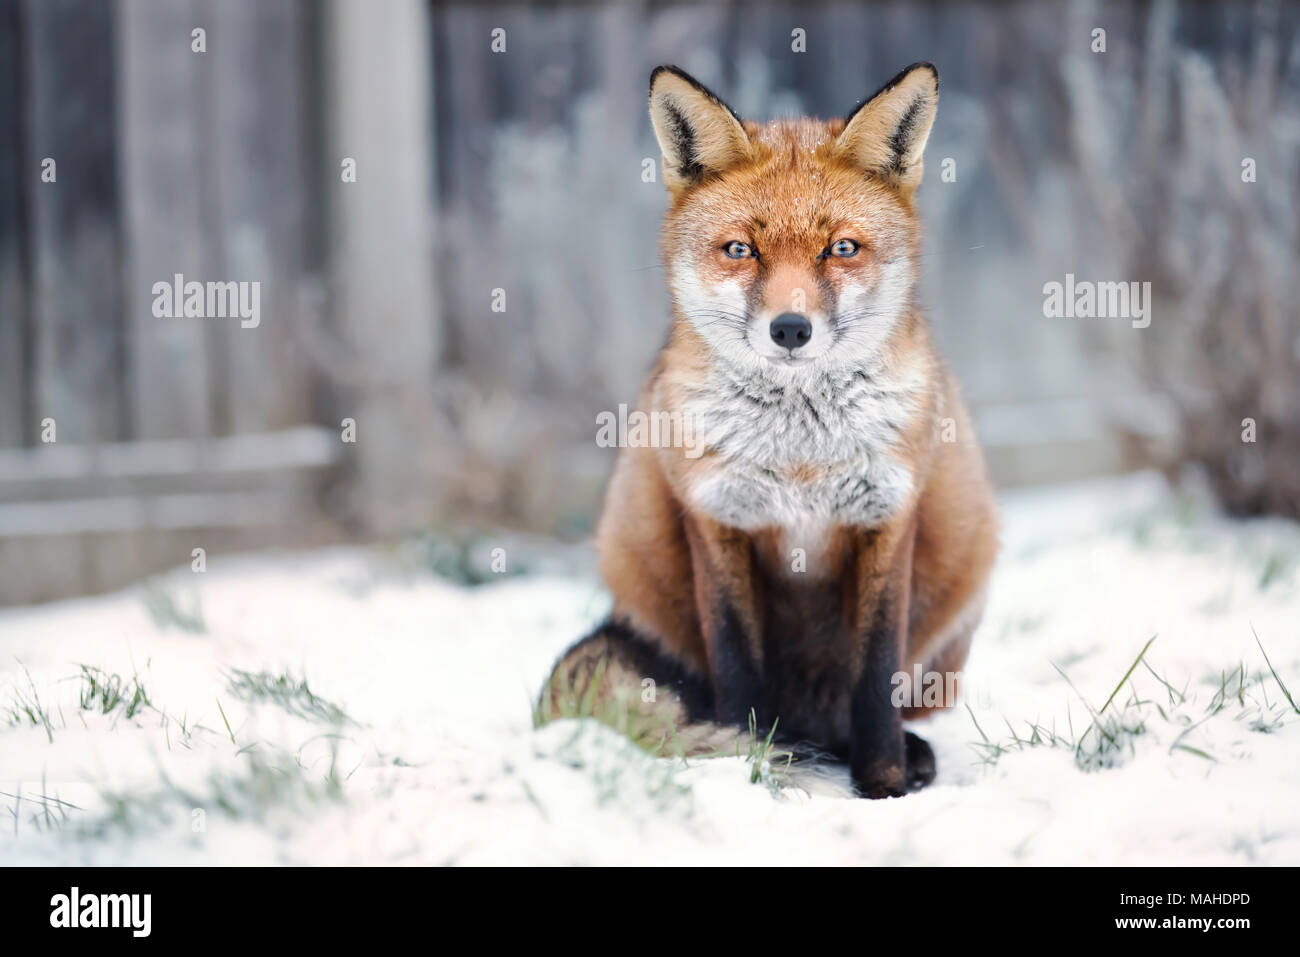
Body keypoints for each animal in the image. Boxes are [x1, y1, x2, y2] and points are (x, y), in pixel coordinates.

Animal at [538, 61, 993, 800]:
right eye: (740, 250)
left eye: (841, 248)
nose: (791, 329)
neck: (799, 456)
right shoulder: (717, 521)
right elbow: (738, 674)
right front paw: (748, 765)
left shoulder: (887, 518)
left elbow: (875, 679)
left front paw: (885, 786)